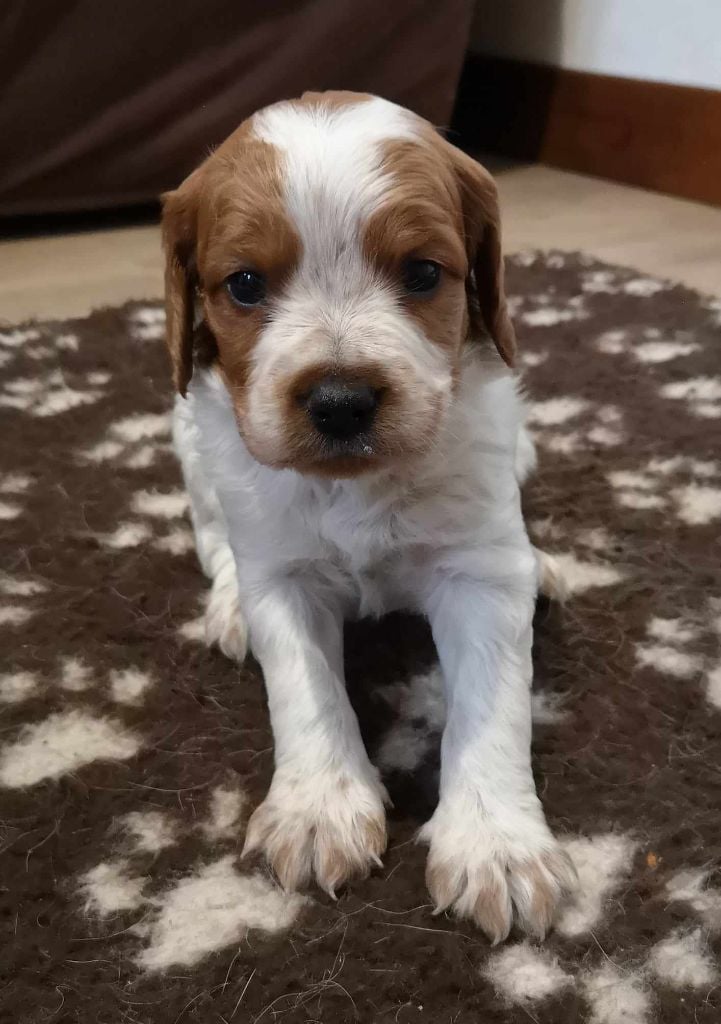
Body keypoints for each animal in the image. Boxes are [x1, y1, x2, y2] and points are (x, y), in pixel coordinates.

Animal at [163, 90, 575, 943]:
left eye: (422, 272)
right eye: (244, 285)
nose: (340, 400)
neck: (354, 484)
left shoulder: (478, 576)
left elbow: (492, 705)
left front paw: (497, 845)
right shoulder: (280, 575)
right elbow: (304, 687)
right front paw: (318, 810)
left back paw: (543, 564)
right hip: (191, 444)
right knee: (215, 543)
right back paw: (227, 609)